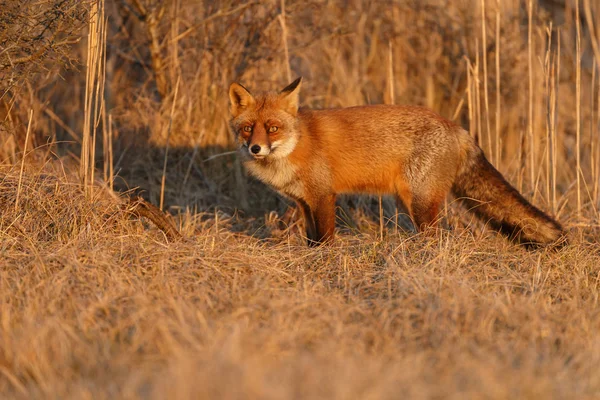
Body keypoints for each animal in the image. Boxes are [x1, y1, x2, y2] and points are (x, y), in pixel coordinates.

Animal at [227, 77, 564, 247]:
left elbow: (324, 239)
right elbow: (311, 239)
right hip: (412, 201)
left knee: (438, 237)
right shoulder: (304, 202)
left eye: (273, 128)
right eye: (248, 128)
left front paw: (325, 264)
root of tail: (458, 128)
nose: (255, 148)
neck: (295, 147)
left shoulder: (323, 196)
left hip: (420, 203)